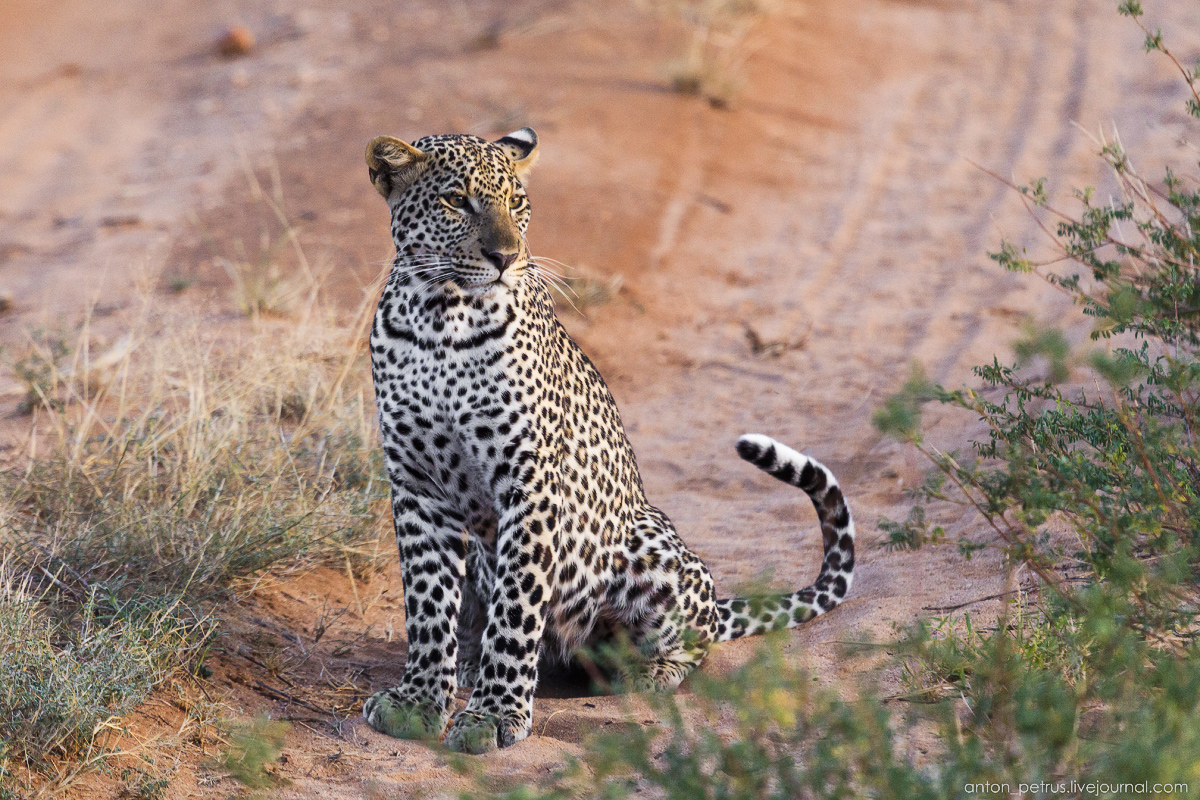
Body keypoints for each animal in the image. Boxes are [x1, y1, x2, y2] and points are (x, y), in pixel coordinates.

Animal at [355, 126, 854, 758]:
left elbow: (516, 610)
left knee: (694, 636)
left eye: (517, 204)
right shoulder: (417, 485)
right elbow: (425, 603)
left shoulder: (530, 484)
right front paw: (419, 699)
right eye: (454, 201)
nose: (506, 258)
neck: (439, 318)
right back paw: (467, 664)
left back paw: (648, 671)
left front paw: (494, 714)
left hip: (648, 549)